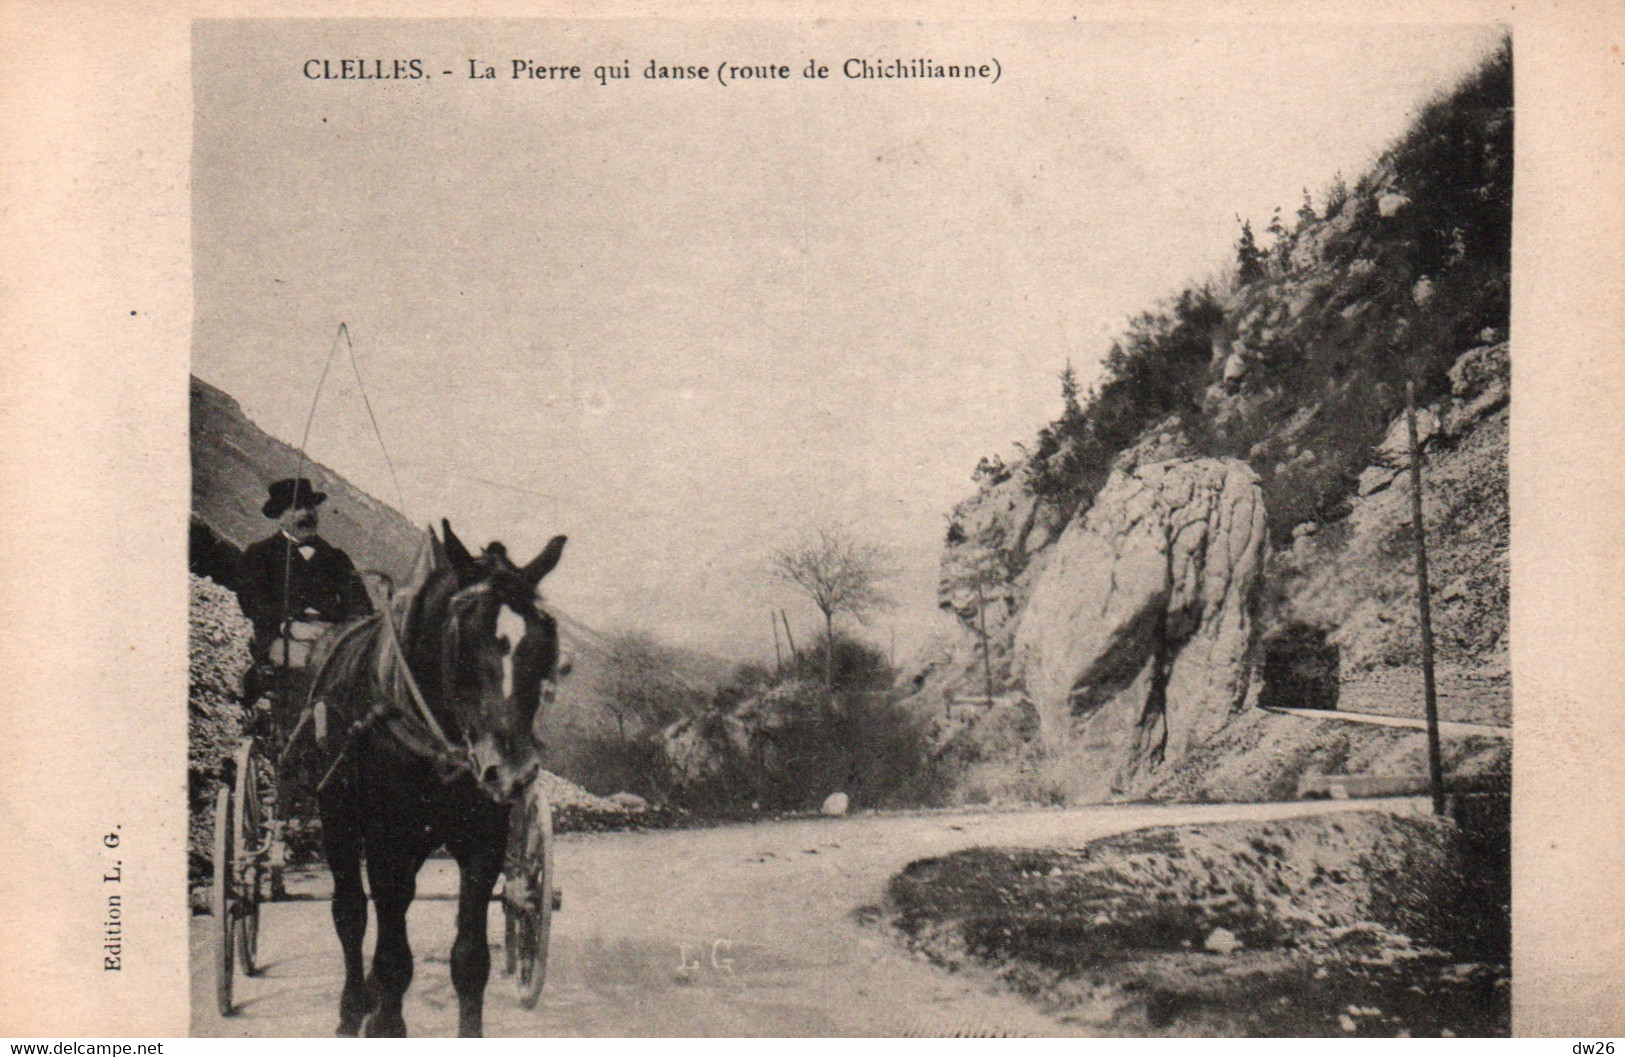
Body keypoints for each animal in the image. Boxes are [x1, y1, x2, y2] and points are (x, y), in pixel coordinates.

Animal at [307, 517, 568, 1027]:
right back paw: (353, 1009)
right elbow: (393, 959)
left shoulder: (484, 842)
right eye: (464, 640)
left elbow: (469, 962)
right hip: (337, 817)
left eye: (544, 639)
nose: (512, 772)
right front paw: (383, 1023)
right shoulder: (386, 841)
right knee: (351, 912)